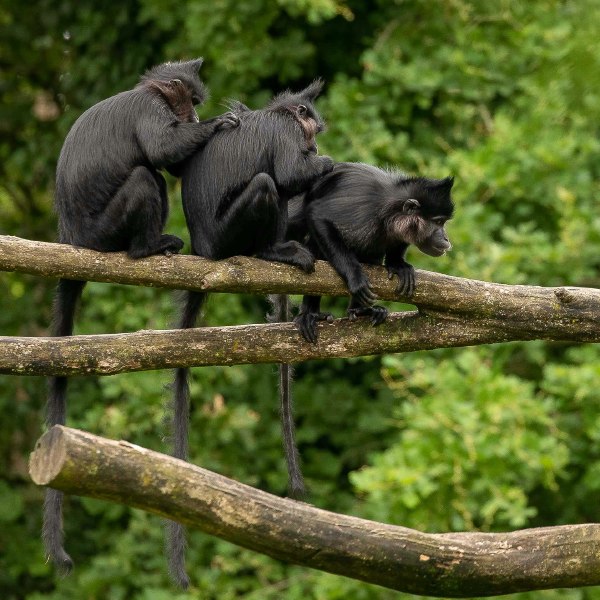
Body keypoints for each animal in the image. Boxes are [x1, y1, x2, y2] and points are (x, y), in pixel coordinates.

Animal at [45, 57, 239, 576]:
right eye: (192, 101)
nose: (197, 117)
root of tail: (73, 239)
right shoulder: (152, 110)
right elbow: (162, 150)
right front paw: (220, 126)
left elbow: (170, 160)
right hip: (105, 231)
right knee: (143, 177)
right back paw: (147, 247)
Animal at [166, 81, 332, 592]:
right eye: (311, 120)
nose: (318, 133)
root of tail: (204, 249)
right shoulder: (285, 135)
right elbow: (291, 173)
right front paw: (323, 163)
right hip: (229, 236)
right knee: (266, 185)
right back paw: (275, 250)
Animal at [288, 163, 452, 342]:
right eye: (438, 222)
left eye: (443, 222)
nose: (446, 238)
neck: (390, 210)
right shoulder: (364, 210)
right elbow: (317, 215)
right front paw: (355, 277)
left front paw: (398, 265)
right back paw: (309, 314)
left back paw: (360, 312)